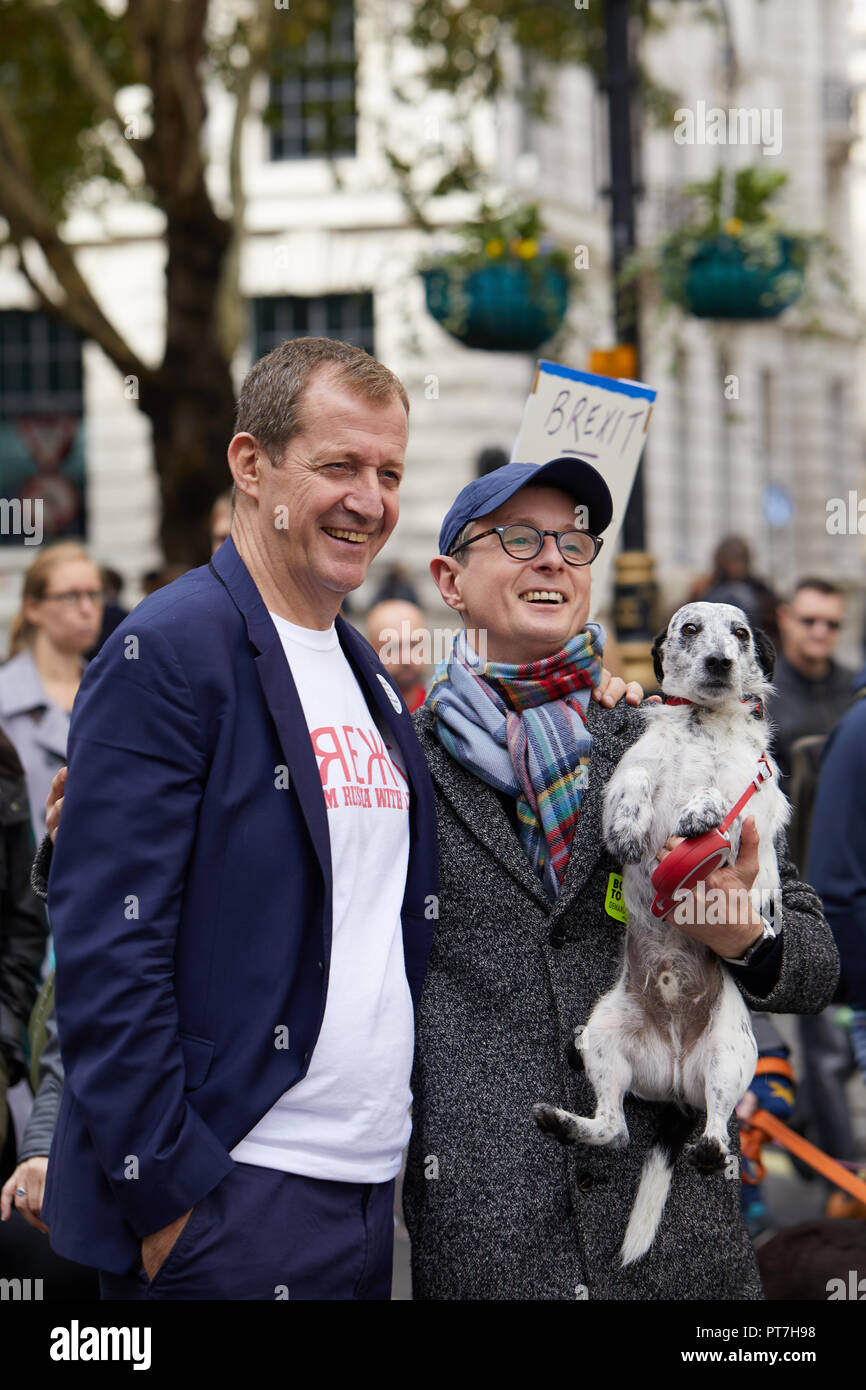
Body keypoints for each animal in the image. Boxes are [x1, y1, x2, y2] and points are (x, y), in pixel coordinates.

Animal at [530, 603, 789, 1267]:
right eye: (690, 629)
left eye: (741, 633)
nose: (720, 661)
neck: (701, 725)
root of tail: (674, 1082)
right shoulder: (638, 766)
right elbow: (634, 787)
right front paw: (627, 829)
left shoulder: (747, 801)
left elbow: (718, 795)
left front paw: (699, 811)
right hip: (604, 1039)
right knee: (613, 1127)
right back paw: (563, 1123)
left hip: (727, 1059)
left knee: (715, 1130)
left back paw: (710, 1150)